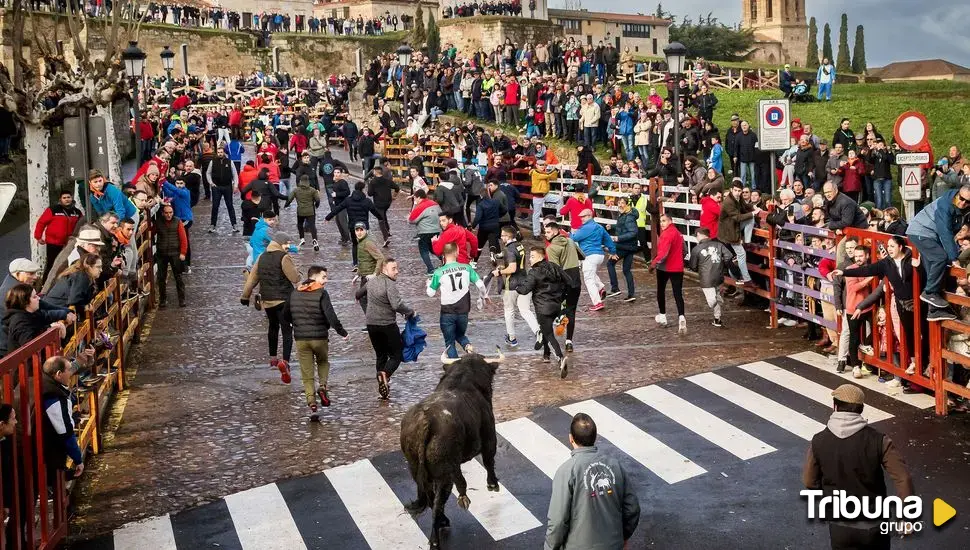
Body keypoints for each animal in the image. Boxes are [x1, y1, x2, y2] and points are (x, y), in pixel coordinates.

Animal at [400, 352, 502, 548]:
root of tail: (425, 421)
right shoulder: (489, 437)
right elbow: (489, 460)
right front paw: (493, 484)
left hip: (416, 469)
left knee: (432, 500)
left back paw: (442, 522)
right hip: (445, 475)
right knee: (438, 502)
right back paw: (435, 540)